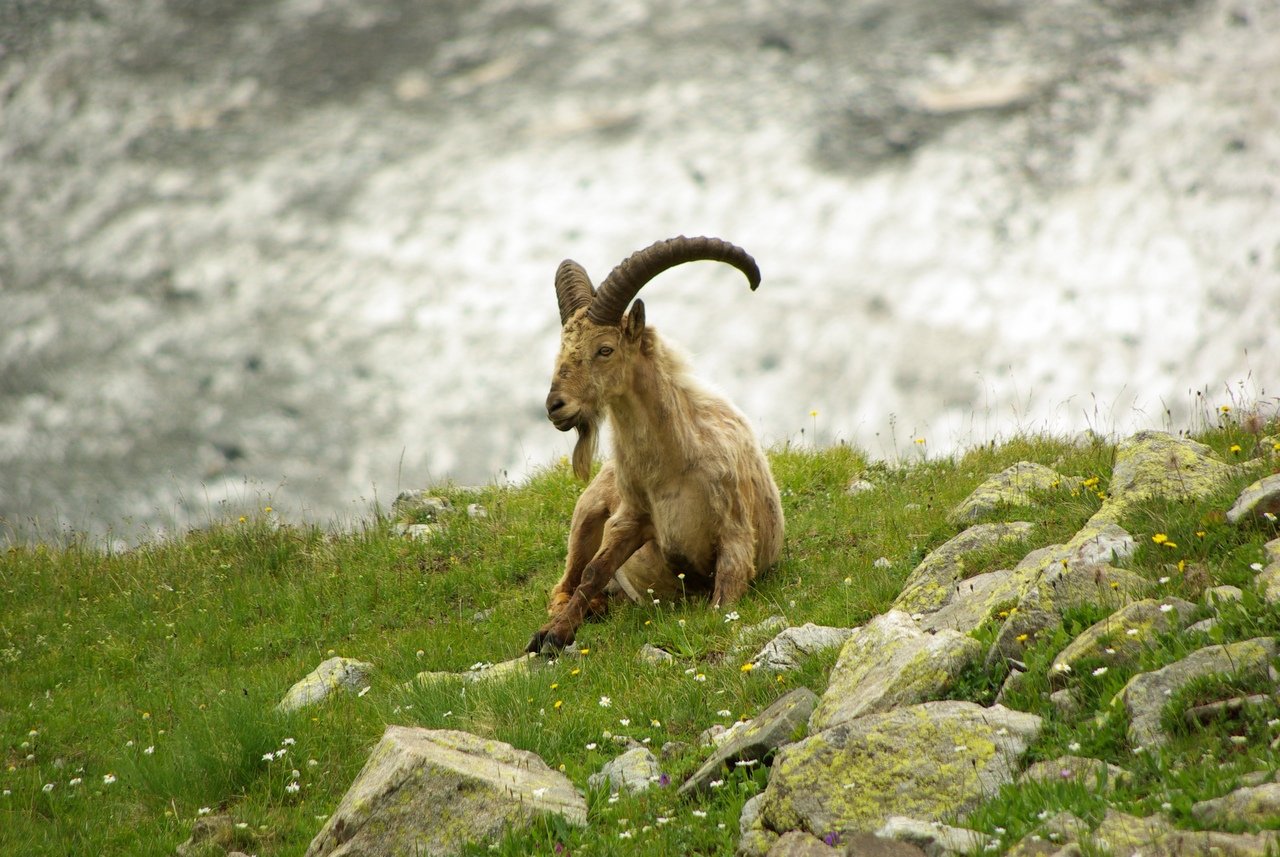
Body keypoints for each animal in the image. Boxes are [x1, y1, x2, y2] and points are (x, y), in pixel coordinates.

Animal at [524, 235, 783, 652]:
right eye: (562, 350)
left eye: (605, 349)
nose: (555, 406)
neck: (672, 468)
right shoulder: (629, 518)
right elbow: (595, 569)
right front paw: (552, 634)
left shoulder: (735, 530)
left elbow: (727, 585)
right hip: (586, 511)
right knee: (567, 581)